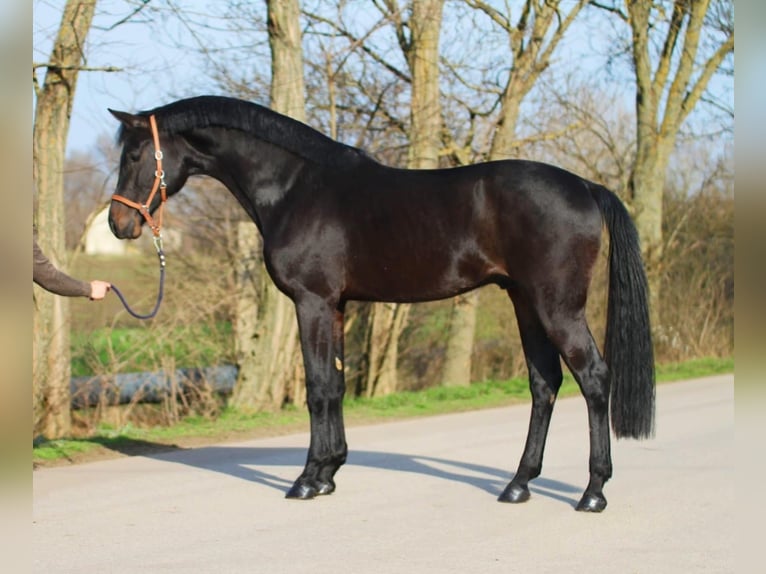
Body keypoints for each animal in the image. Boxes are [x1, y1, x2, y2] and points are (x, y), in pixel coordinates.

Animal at [108, 95, 654, 512]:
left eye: (133, 156)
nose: (118, 224)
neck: (294, 186)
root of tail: (586, 186)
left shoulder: (312, 302)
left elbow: (317, 388)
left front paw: (306, 480)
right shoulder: (337, 305)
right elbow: (336, 384)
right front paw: (328, 472)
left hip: (557, 306)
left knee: (593, 378)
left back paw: (592, 492)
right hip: (525, 302)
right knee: (545, 383)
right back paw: (518, 485)